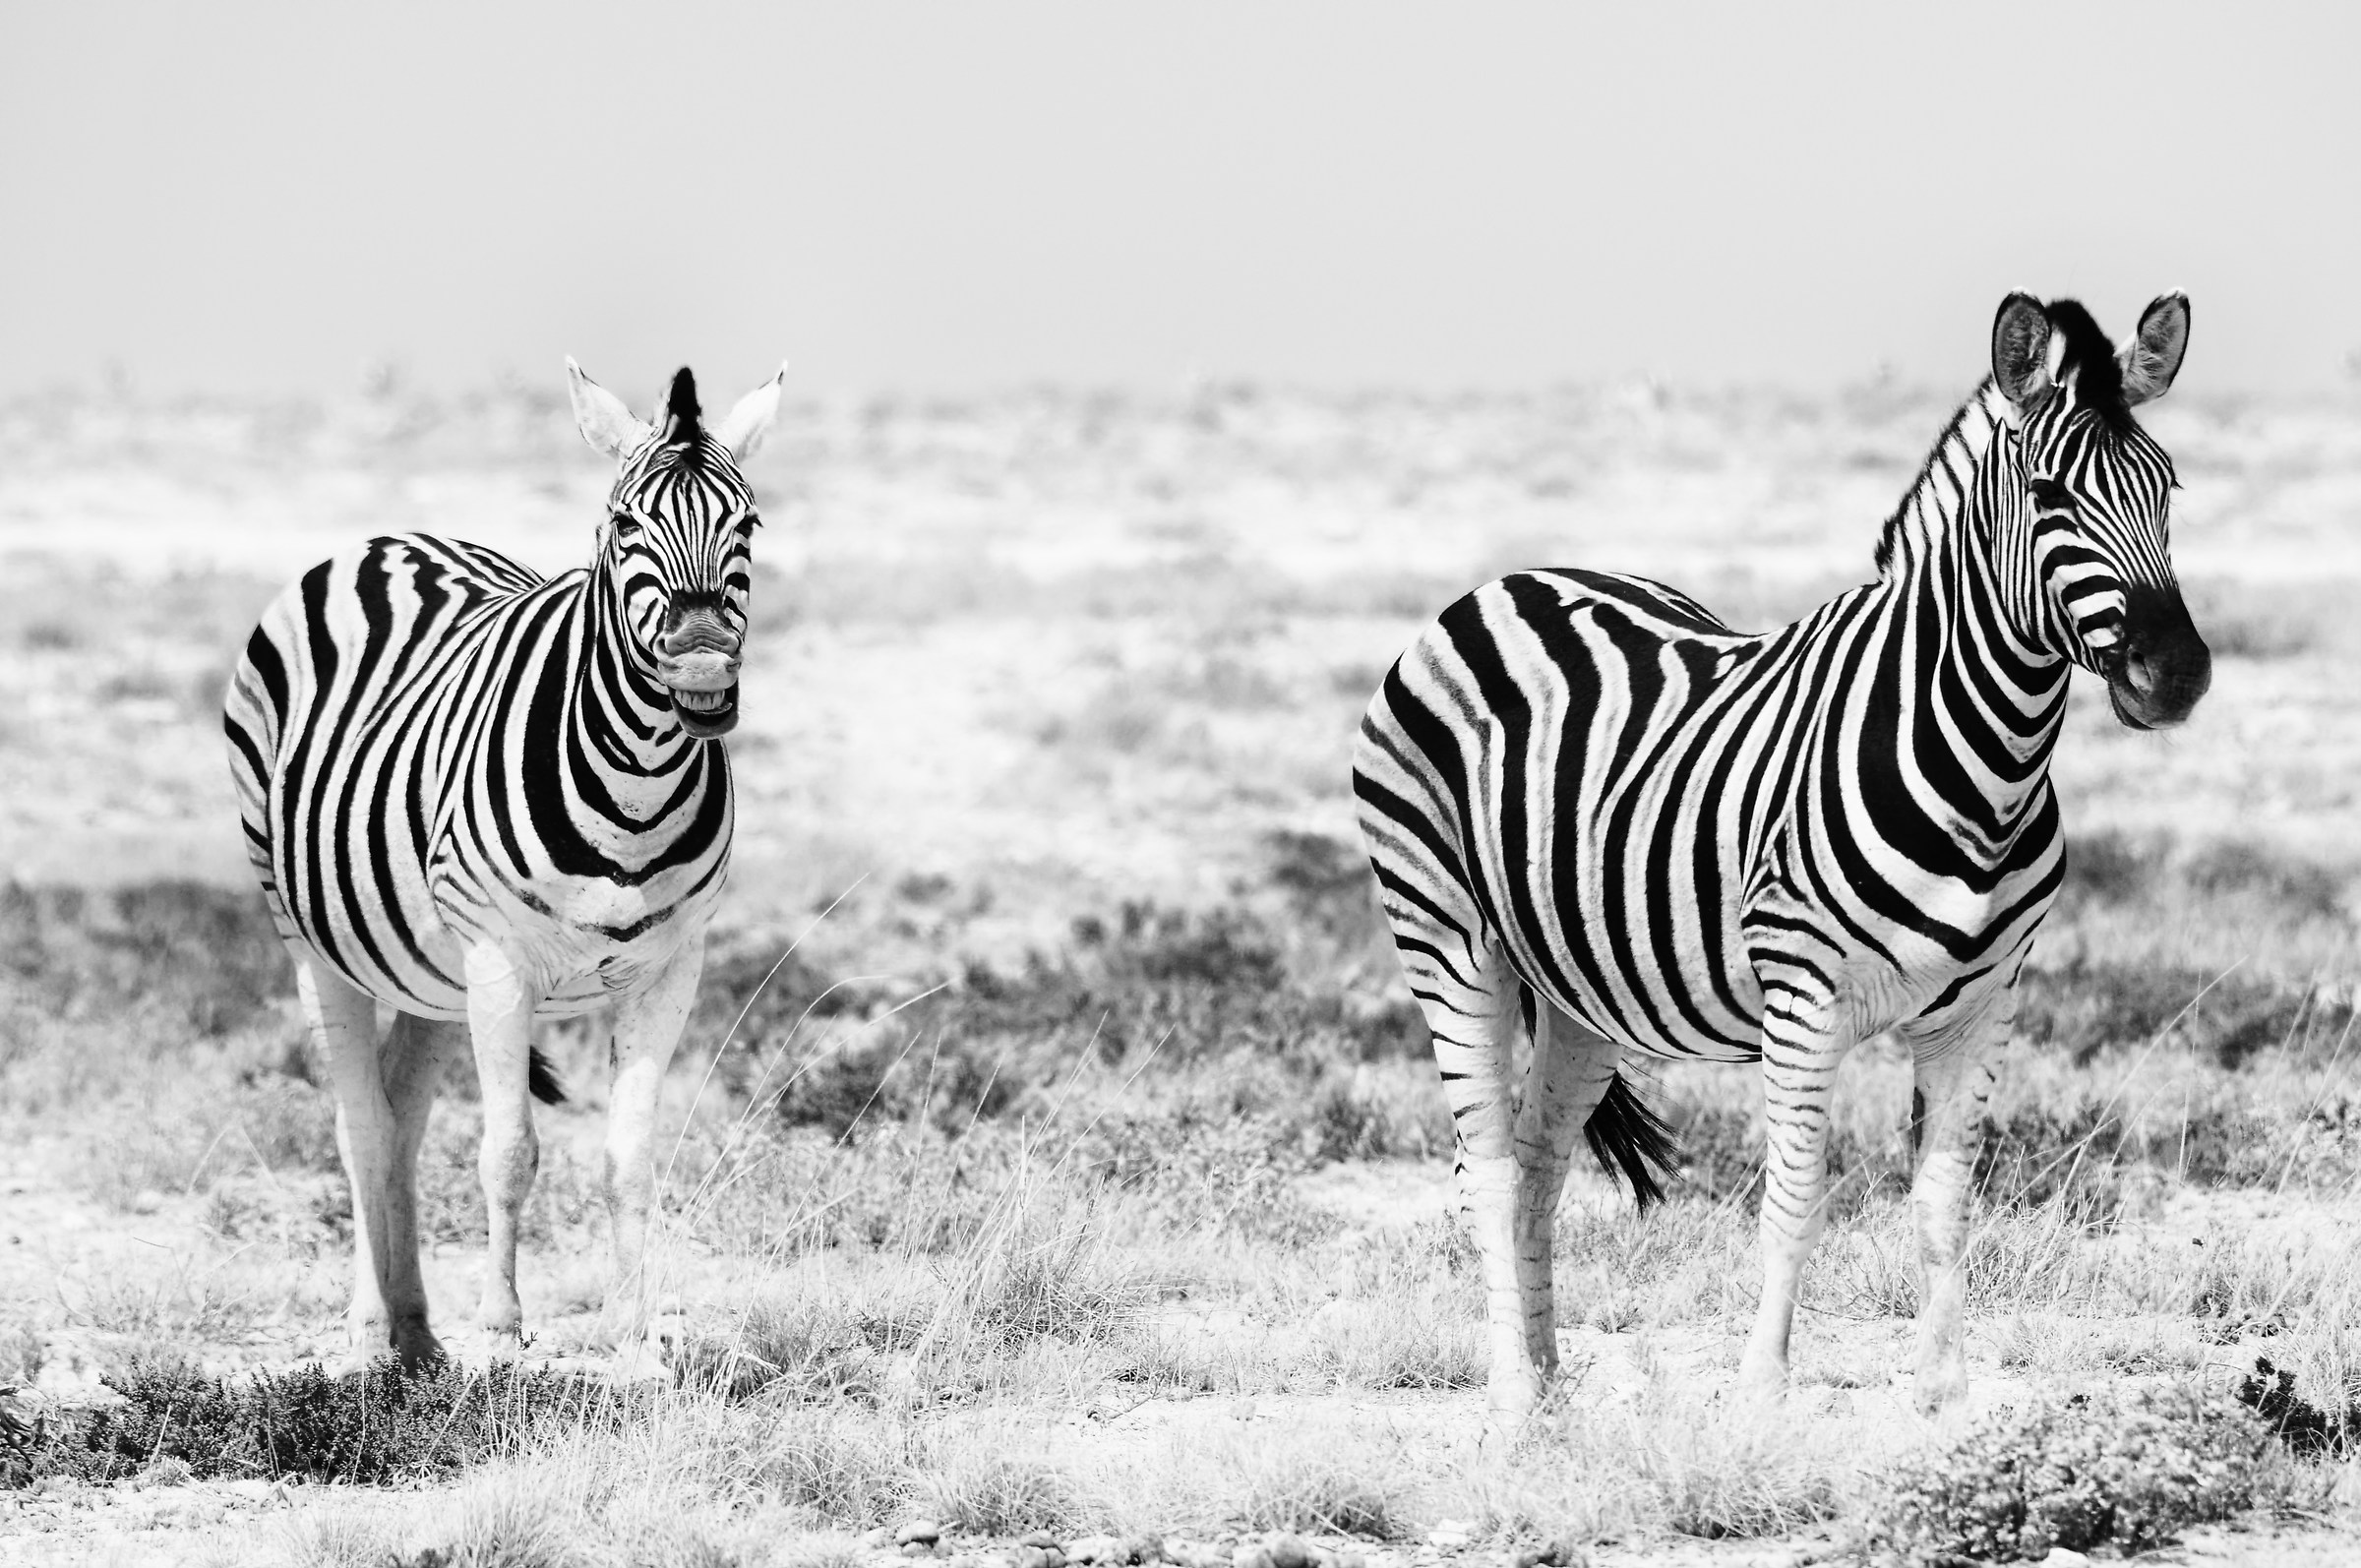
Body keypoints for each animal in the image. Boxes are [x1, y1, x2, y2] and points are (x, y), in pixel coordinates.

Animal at [223, 360, 784, 1371]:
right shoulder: (499, 961)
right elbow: (510, 1149)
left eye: (749, 524)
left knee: (401, 1118)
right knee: (361, 1126)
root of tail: (391, 539)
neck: (637, 783)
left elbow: (628, 1156)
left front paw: (637, 1333)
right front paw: (504, 1328)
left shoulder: (672, 966)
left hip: (428, 971)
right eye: (623, 526)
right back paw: (368, 1333)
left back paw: (414, 1331)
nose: (702, 672)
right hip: (313, 941)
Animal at [1352, 293, 2207, 1423]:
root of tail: (1499, 584)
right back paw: (1513, 1406)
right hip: (1446, 936)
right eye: (2048, 493)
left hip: (1578, 987)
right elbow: (1795, 1198)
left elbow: (1944, 1201)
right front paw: (1761, 1393)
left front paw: (1943, 1401)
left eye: (2170, 488)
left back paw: (1551, 1387)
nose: (2179, 674)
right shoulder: (1802, 997)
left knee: (1537, 1164)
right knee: (1486, 1169)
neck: (1988, 763)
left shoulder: (1984, 1008)